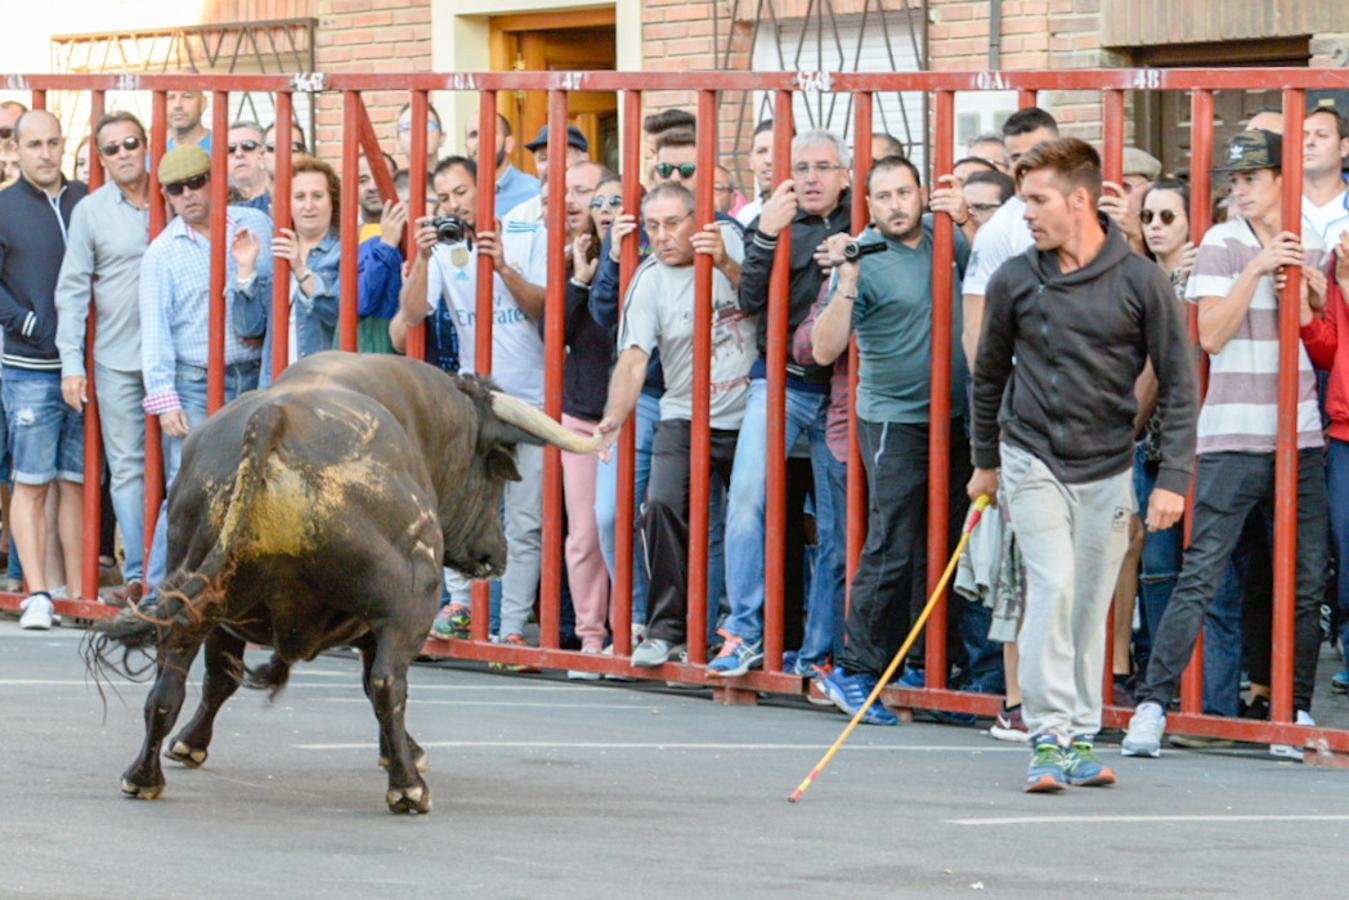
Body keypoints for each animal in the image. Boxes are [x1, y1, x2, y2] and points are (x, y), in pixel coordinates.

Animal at [88, 350, 601, 814]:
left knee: (168, 687)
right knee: (388, 683)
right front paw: (406, 755)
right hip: (410, 603)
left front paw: (190, 743)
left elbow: (220, 678)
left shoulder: (230, 618)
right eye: (498, 471)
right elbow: (375, 684)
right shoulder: (379, 619)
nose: (496, 554)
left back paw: (143, 776)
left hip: (193, 595)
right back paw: (408, 788)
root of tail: (274, 418)